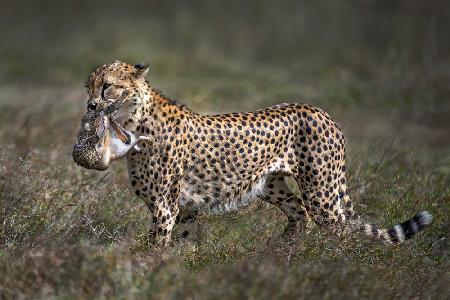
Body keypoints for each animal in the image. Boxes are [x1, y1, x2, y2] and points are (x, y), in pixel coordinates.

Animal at [73, 60, 432, 246]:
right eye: (88, 87)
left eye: (107, 87)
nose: (90, 106)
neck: (135, 120)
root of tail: (320, 111)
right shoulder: (184, 207)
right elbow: (182, 243)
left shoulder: (165, 206)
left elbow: (156, 247)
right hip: (271, 185)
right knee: (298, 212)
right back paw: (283, 254)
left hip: (323, 193)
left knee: (337, 229)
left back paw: (331, 268)